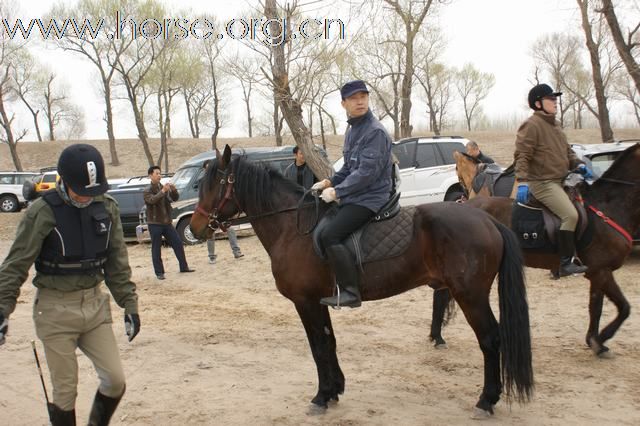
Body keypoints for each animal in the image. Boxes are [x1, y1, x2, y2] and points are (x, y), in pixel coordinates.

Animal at [190, 146, 536, 416]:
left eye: (215, 184)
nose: (195, 228)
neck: (293, 227)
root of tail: (487, 219)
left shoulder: (304, 302)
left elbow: (317, 346)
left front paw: (320, 396)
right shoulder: (320, 300)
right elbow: (328, 342)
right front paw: (334, 390)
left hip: (470, 295)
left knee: (490, 339)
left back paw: (486, 400)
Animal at [440, 144, 640, 356]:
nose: (461, 189)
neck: (607, 207)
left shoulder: (598, 272)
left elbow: (596, 307)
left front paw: (595, 341)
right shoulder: (601, 271)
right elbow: (623, 307)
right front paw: (600, 339)